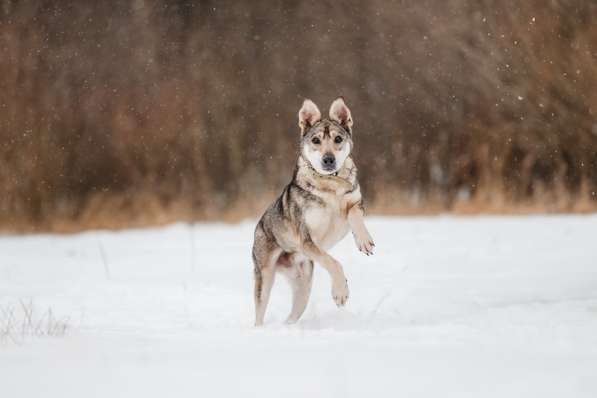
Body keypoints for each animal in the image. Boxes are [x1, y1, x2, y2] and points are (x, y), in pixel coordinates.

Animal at [250, 98, 372, 324]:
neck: (330, 185)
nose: (328, 159)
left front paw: (364, 241)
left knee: (292, 316)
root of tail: (259, 226)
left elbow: (354, 215)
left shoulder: (355, 201)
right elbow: (332, 262)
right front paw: (340, 293)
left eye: (338, 138)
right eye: (316, 140)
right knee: (259, 314)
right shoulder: (306, 240)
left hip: (303, 287)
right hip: (265, 277)